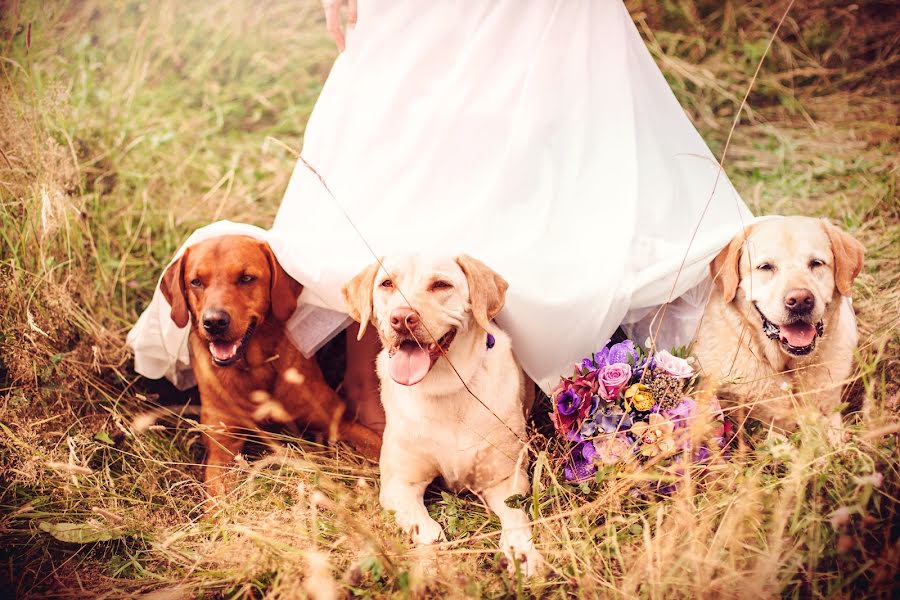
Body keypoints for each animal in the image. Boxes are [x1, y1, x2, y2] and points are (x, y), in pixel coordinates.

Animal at [342, 255, 540, 576]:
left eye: (441, 285)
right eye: (386, 283)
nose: (402, 318)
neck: (444, 388)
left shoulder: (505, 480)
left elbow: (515, 518)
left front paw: (522, 552)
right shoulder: (399, 484)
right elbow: (425, 528)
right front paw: (432, 560)